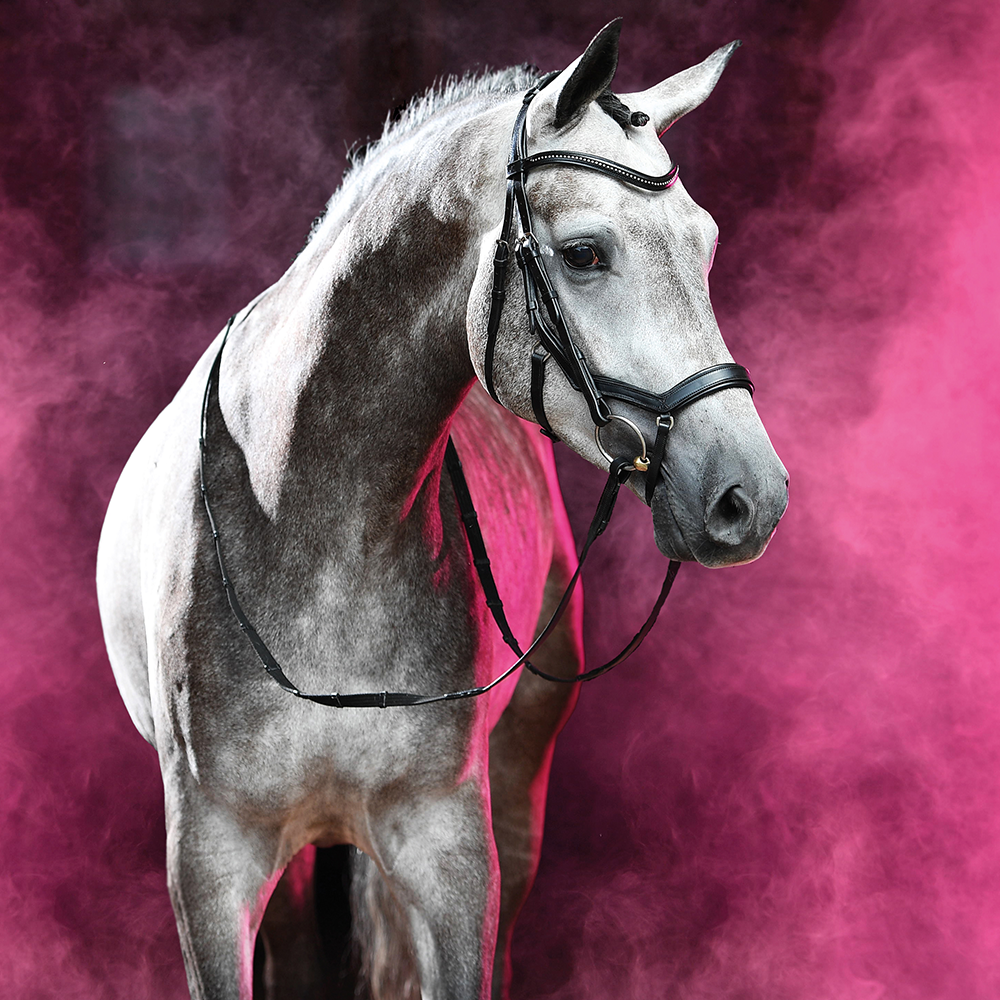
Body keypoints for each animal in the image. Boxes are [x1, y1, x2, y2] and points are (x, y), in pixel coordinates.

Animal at [96, 20, 788, 1000]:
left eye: (706, 243)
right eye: (585, 253)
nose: (749, 497)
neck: (312, 525)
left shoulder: (450, 847)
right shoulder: (211, 864)